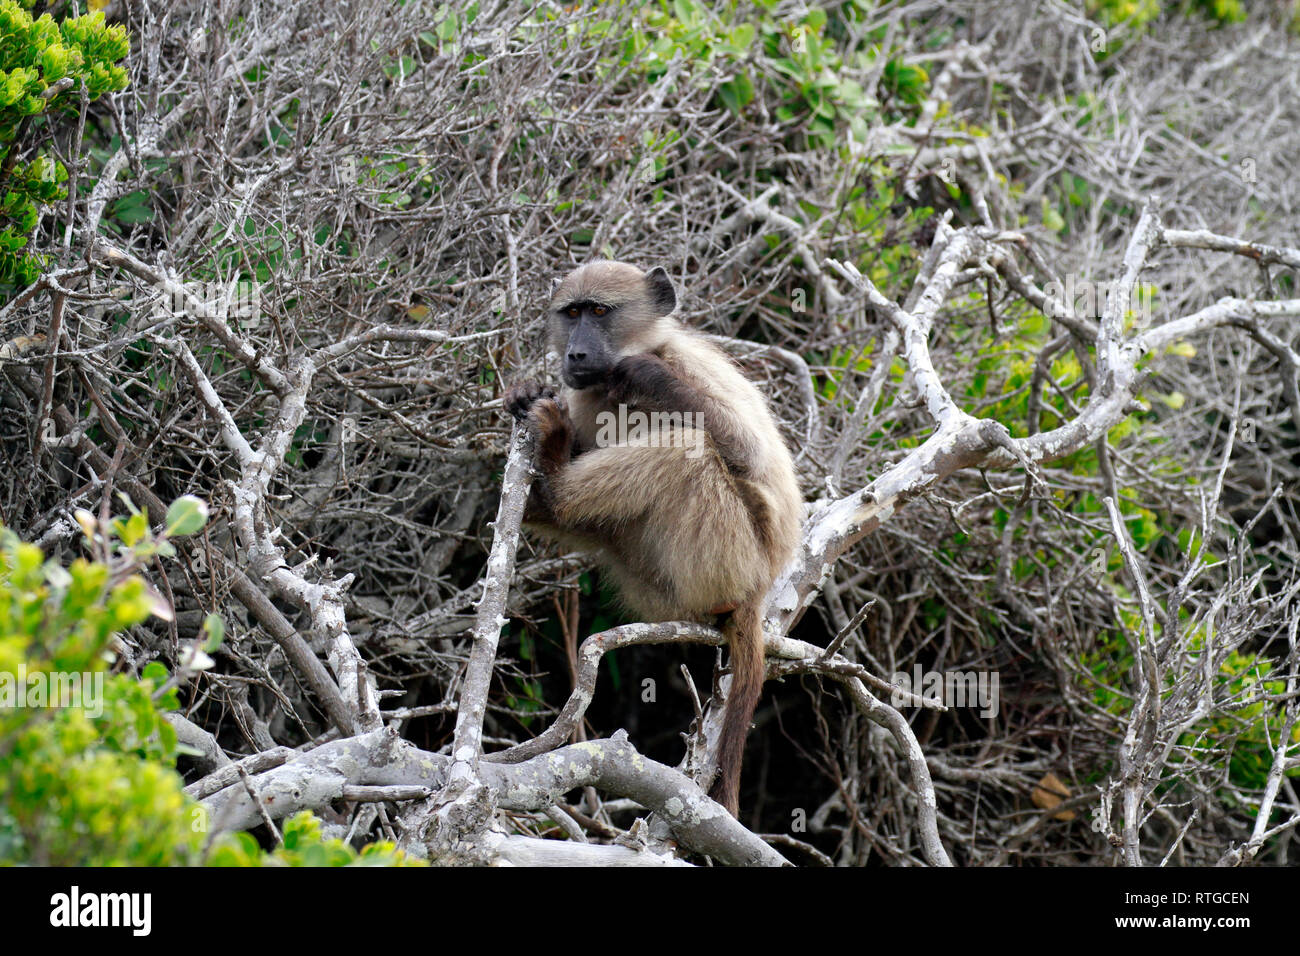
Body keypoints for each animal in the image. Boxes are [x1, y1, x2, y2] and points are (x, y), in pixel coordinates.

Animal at [504, 260, 802, 816]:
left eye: (600, 312)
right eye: (571, 313)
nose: (575, 353)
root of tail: (757, 591)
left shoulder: (687, 366)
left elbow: (750, 455)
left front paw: (646, 377)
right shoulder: (584, 393)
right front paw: (523, 396)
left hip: (728, 560)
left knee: (690, 446)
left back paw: (555, 478)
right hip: (650, 576)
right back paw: (547, 489)